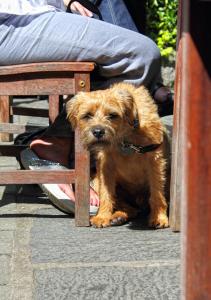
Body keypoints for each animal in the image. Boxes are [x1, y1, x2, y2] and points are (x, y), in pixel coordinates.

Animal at [67, 82, 169, 227]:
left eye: (112, 115)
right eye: (87, 115)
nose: (98, 131)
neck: (125, 137)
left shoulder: (154, 160)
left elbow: (157, 192)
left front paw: (159, 217)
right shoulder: (105, 164)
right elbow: (106, 193)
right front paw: (102, 216)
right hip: (96, 180)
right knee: (128, 207)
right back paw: (118, 216)